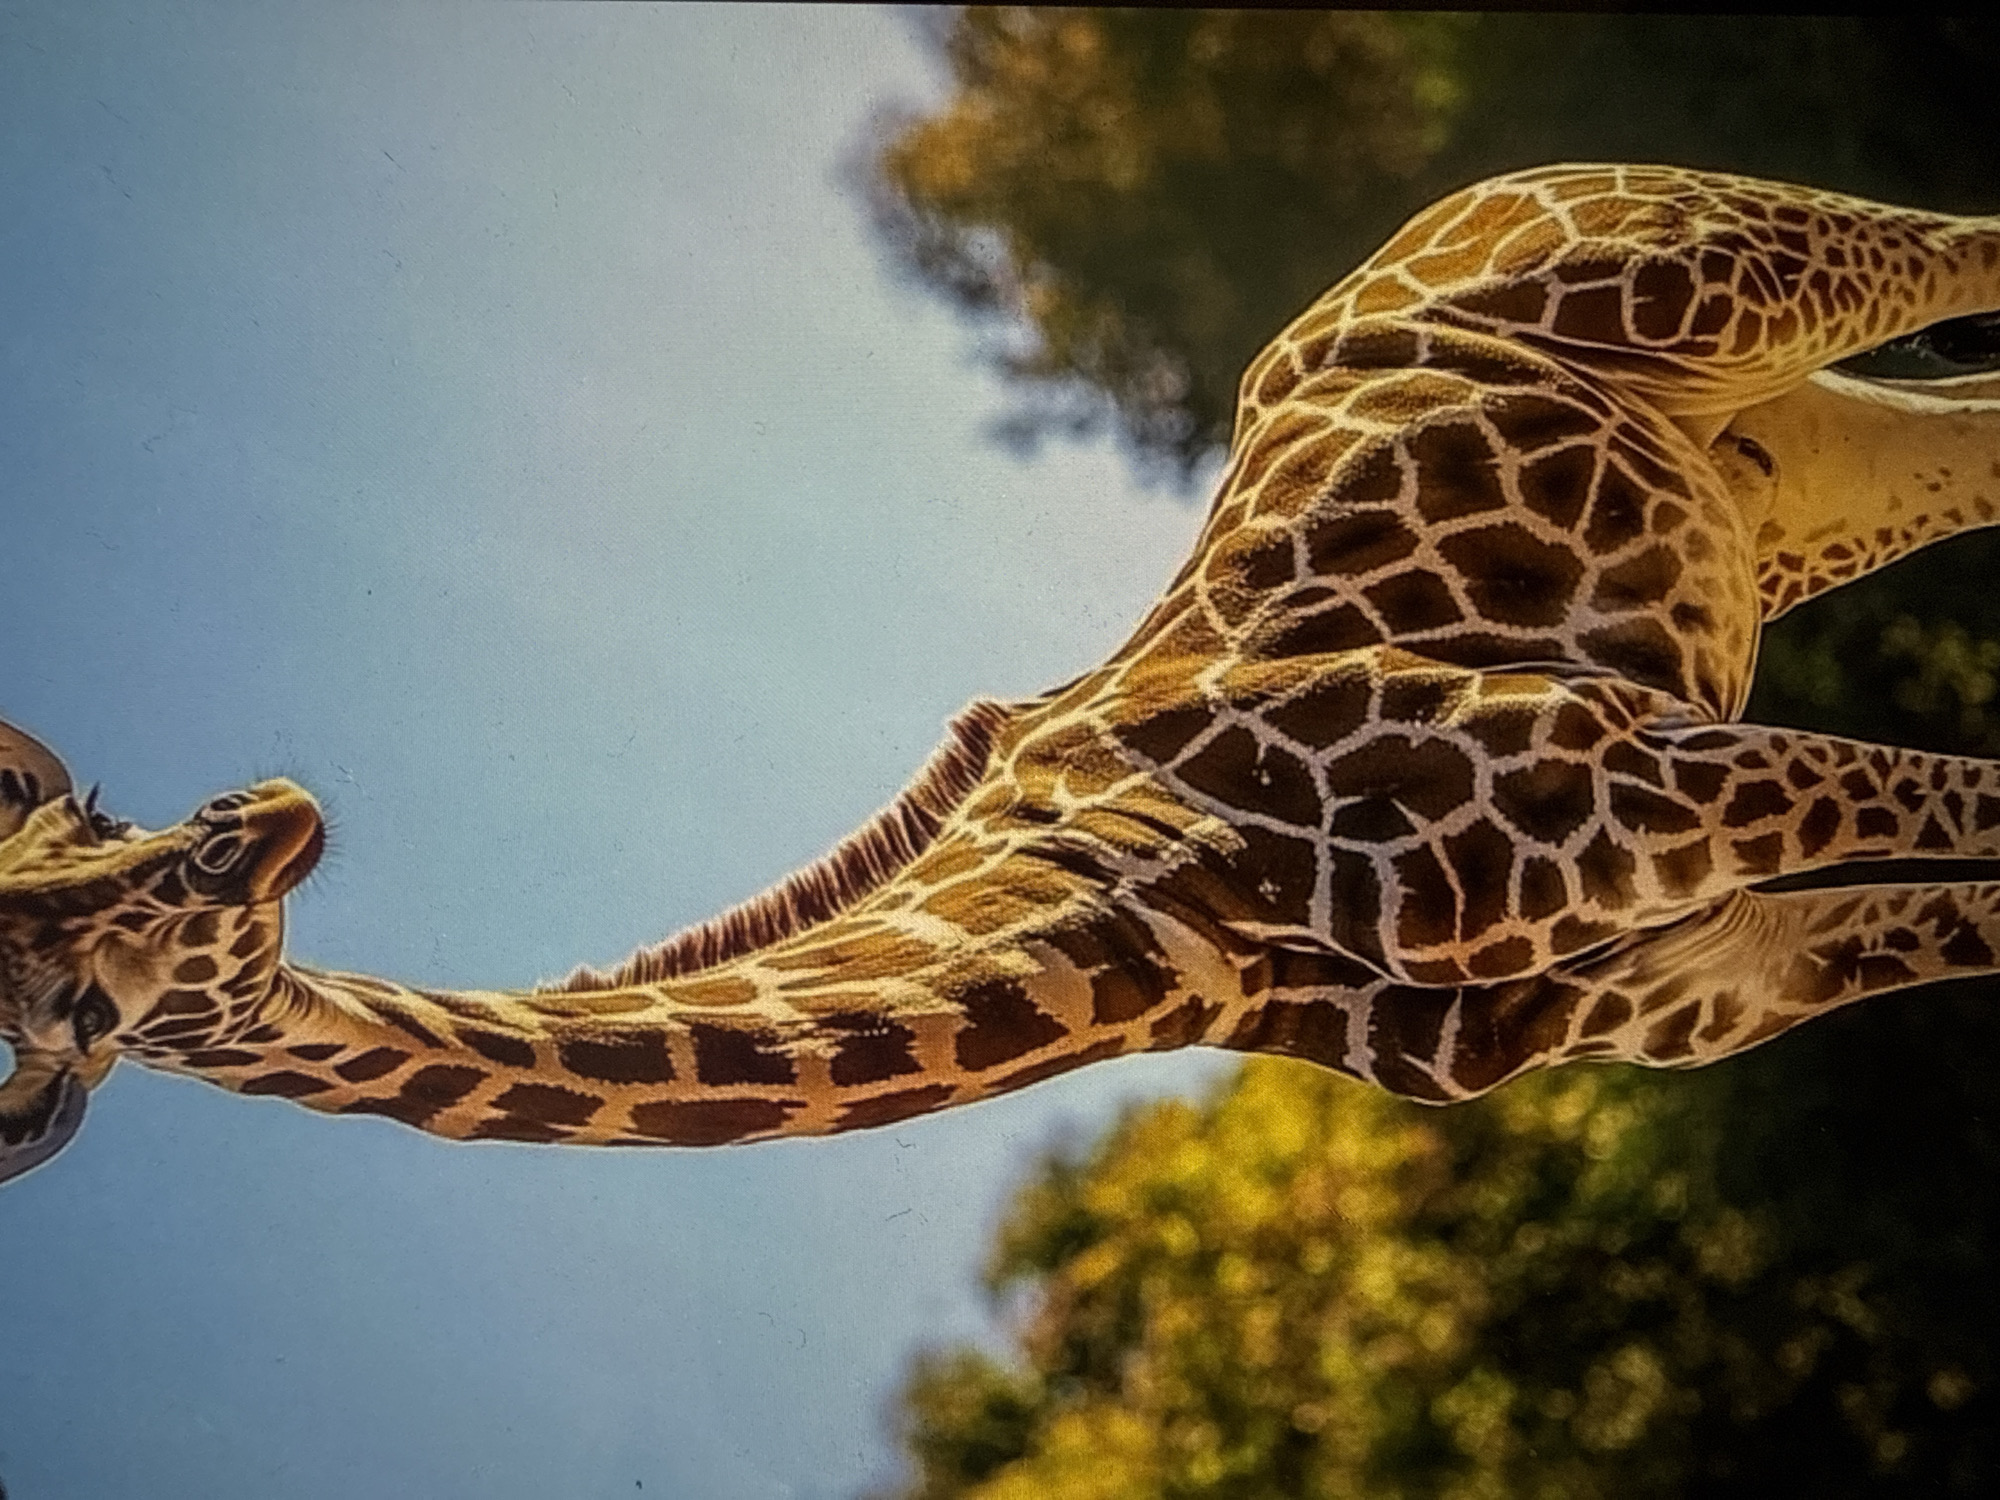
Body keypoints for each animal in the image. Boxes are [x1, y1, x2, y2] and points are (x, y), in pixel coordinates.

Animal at [8, 162, 2000, 1182]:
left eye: (91, 814)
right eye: (72, 1013)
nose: (250, 821)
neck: (1174, 903)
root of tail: (1463, 200)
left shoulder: (1622, 755)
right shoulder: (1701, 966)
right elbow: (1965, 900)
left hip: (1725, 272)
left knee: (1955, 237)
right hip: (1793, 464)